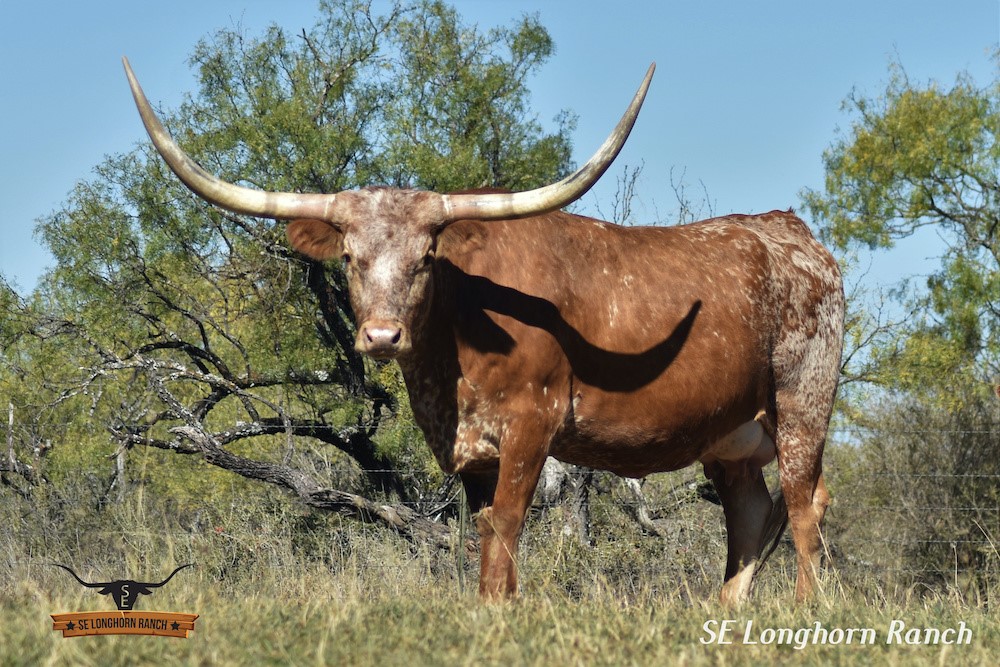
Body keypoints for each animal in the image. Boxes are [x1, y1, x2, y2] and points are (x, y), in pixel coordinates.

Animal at [123, 57, 844, 604]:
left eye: (426, 258)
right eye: (350, 258)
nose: (381, 337)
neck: (455, 353)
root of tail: (791, 231)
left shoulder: (533, 424)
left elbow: (507, 526)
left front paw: (501, 613)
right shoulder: (469, 449)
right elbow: (483, 534)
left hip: (802, 402)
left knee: (805, 504)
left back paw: (805, 613)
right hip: (730, 435)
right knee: (751, 515)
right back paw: (725, 616)